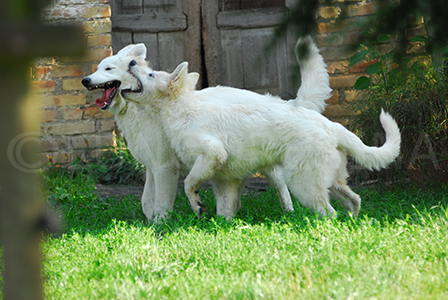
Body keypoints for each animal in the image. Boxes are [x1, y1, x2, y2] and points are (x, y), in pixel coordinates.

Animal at [121, 58, 400, 219]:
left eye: (151, 74)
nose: (132, 62)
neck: (182, 109)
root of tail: (331, 126)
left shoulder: (212, 153)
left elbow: (189, 184)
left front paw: (197, 206)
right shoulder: (225, 180)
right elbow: (224, 212)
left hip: (303, 183)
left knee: (328, 212)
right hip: (331, 180)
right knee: (354, 200)